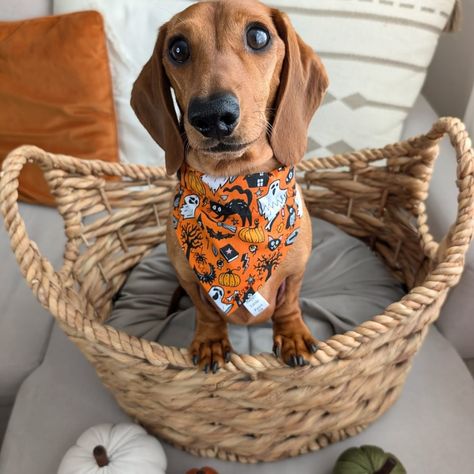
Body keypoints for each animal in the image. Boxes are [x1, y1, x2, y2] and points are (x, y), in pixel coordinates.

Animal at [131, 0, 330, 370]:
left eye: (258, 35)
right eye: (177, 49)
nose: (211, 115)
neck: (236, 174)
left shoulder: (296, 272)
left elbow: (289, 302)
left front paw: (292, 334)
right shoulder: (189, 280)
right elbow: (206, 311)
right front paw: (211, 340)